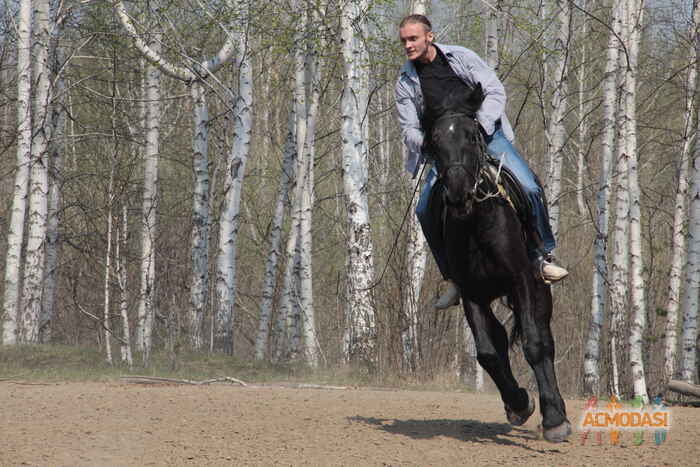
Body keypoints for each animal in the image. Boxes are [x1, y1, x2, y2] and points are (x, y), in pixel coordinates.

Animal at [424, 85, 572, 446]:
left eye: (471, 135)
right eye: (435, 141)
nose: (458, 192)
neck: (477, 222)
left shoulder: (521, 281)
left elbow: (535, 344)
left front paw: (554, 420)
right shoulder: (472, 294)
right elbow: (488, 353)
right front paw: (519, 403)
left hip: (538, 290)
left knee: (544, 338)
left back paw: (556, 409)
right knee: (501, 340)